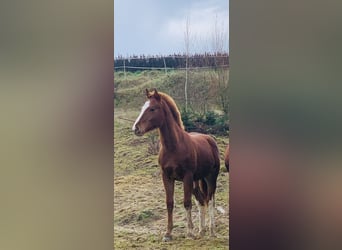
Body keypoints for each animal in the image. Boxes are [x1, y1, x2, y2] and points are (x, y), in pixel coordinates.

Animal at [132, 89, 220, 241]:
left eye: (152, 108)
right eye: (143, 107)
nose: (136, 128)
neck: (174, 147)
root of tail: (210, 140)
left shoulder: (187, 177)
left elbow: (186, 202)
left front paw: (189, 232)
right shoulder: (166, 177)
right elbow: (169, 203)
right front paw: (168, 234)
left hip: (210, 177)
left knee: (210, 199)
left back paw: (211, 230)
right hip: (197, 181)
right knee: (201, 201)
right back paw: (201, 231)